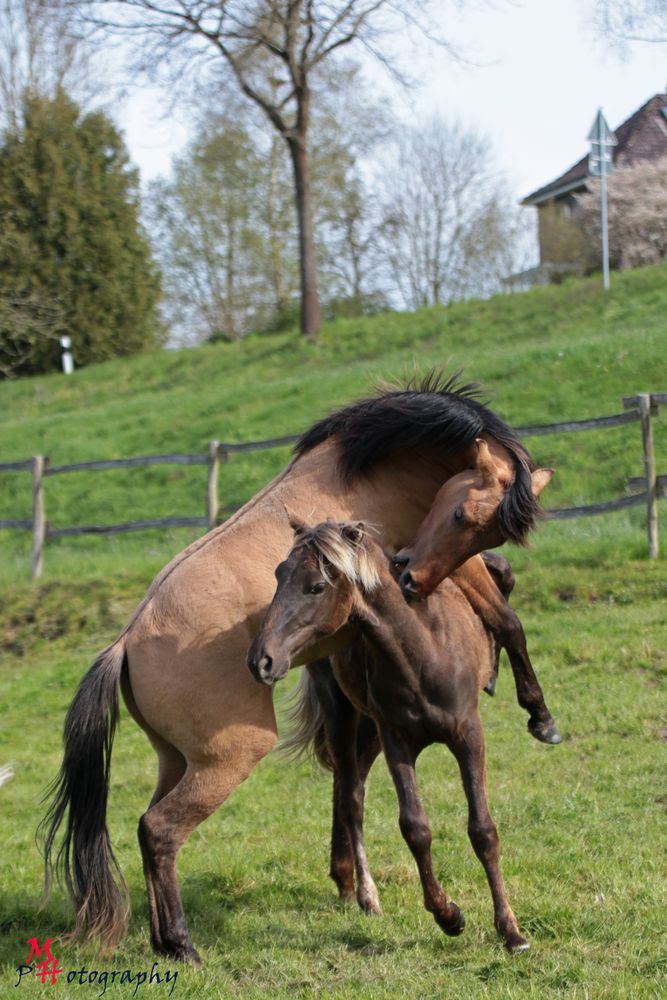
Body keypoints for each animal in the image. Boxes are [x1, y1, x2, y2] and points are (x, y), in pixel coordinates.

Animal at [248, 524, 536, 952]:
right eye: (279, 575)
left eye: (316, 586)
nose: (261, 660)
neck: (424, 650)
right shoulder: (397, 741)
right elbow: (415, 828)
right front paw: (448, 915)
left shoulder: (468, 736)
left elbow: (482, 830)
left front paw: (511, 931)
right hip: (345, 717)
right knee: (350, 797)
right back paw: (365, 894)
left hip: (369, 733)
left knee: (350, 788)